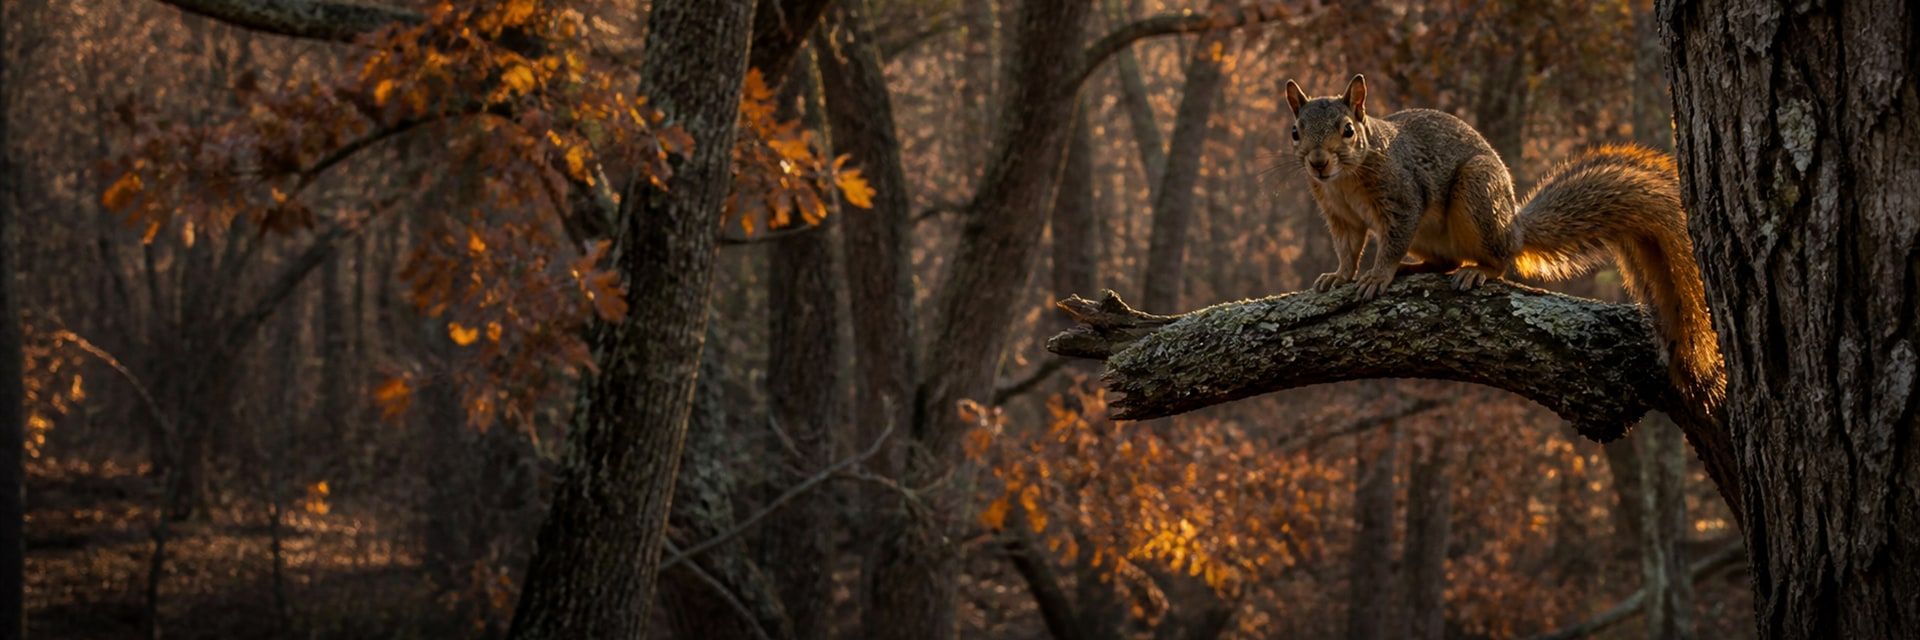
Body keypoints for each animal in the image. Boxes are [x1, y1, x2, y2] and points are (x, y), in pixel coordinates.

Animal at [1284, 74, 1724, 405]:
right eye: (1295, 132)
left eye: (1348, 130)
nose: (1317, 163)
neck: (1345, 178)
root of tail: (1513, 229)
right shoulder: (1338, 214)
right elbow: (1347, 247)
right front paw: (1339, 276)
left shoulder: (1403, 197)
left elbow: (1391, 240)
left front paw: (1378, 275)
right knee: (1446, 261)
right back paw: (1418, 267)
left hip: (1477, 195)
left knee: (1497, 261)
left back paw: (1477, 271)